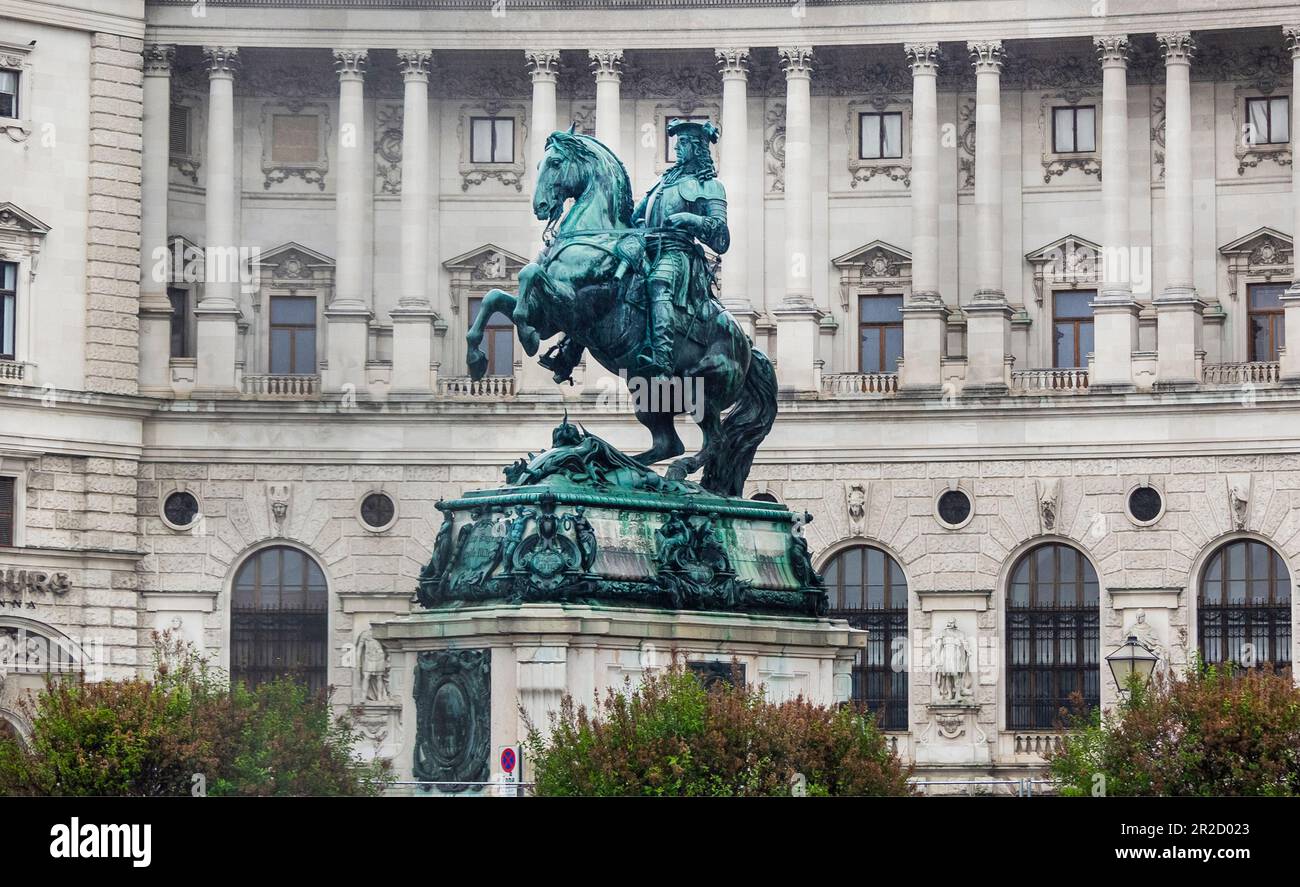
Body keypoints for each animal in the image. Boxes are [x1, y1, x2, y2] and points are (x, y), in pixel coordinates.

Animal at [465, 128, 774, 496]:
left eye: (555, 163)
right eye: (539, 164)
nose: (540, 207)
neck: (594, 234)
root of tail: (748, 348)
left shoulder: (573, 303)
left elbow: (529, 276)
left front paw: (525, 334)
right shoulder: (553, 316)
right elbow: (495, 297)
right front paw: (477, 358)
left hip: (703, 390)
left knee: (714, 440)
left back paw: (665, 471)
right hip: (648, 393)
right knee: (668, 443)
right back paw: (618, 465)